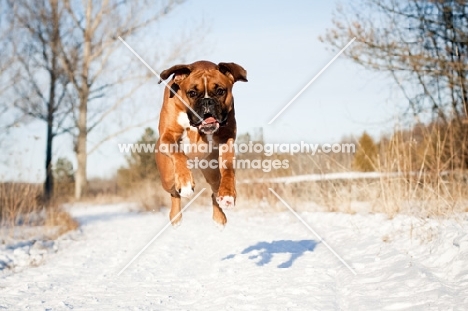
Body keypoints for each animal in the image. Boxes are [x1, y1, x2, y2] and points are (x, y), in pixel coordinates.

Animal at [154, 60, 249, 227]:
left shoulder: (227, 139)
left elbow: (228, 168)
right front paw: (185, 182)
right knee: (174, 193)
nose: (207, 101)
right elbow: (178, 154)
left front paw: (228, 194)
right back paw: (176, 216)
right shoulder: (167, 137)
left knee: (214, 191)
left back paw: (219, 215)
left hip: (212, 171)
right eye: (192, 93)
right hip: (168, 177)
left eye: (220, 91)